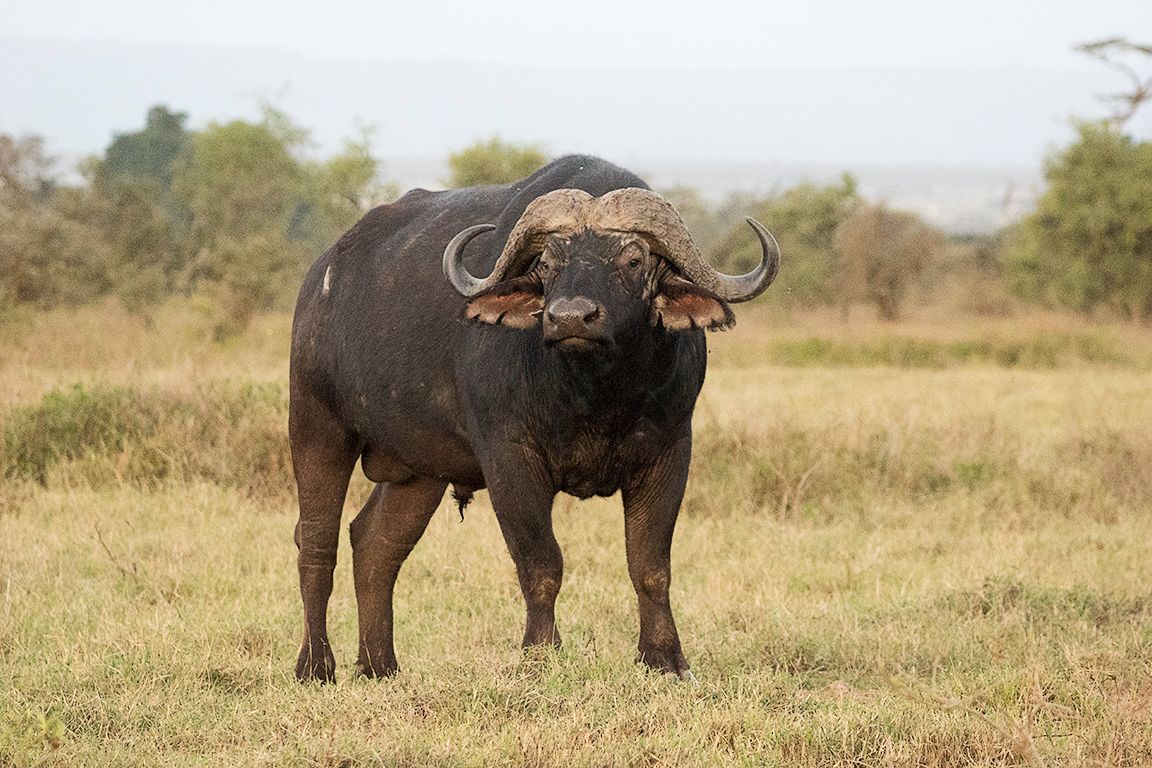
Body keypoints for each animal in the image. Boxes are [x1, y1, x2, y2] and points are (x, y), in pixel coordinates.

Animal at [290, 155, 779, 682]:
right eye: (547, 263)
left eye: (633, 261)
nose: (569, 318)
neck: (596, 395)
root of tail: (322, 276)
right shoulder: (511, 460)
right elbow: (541, 565)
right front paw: (540, 654)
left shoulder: (669, 454)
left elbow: (650, 565)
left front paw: (665, 659)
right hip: (316, 427)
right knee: (316, 543)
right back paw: (315, 664)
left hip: (418, 471)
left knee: (375, 544)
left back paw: (379, 664)